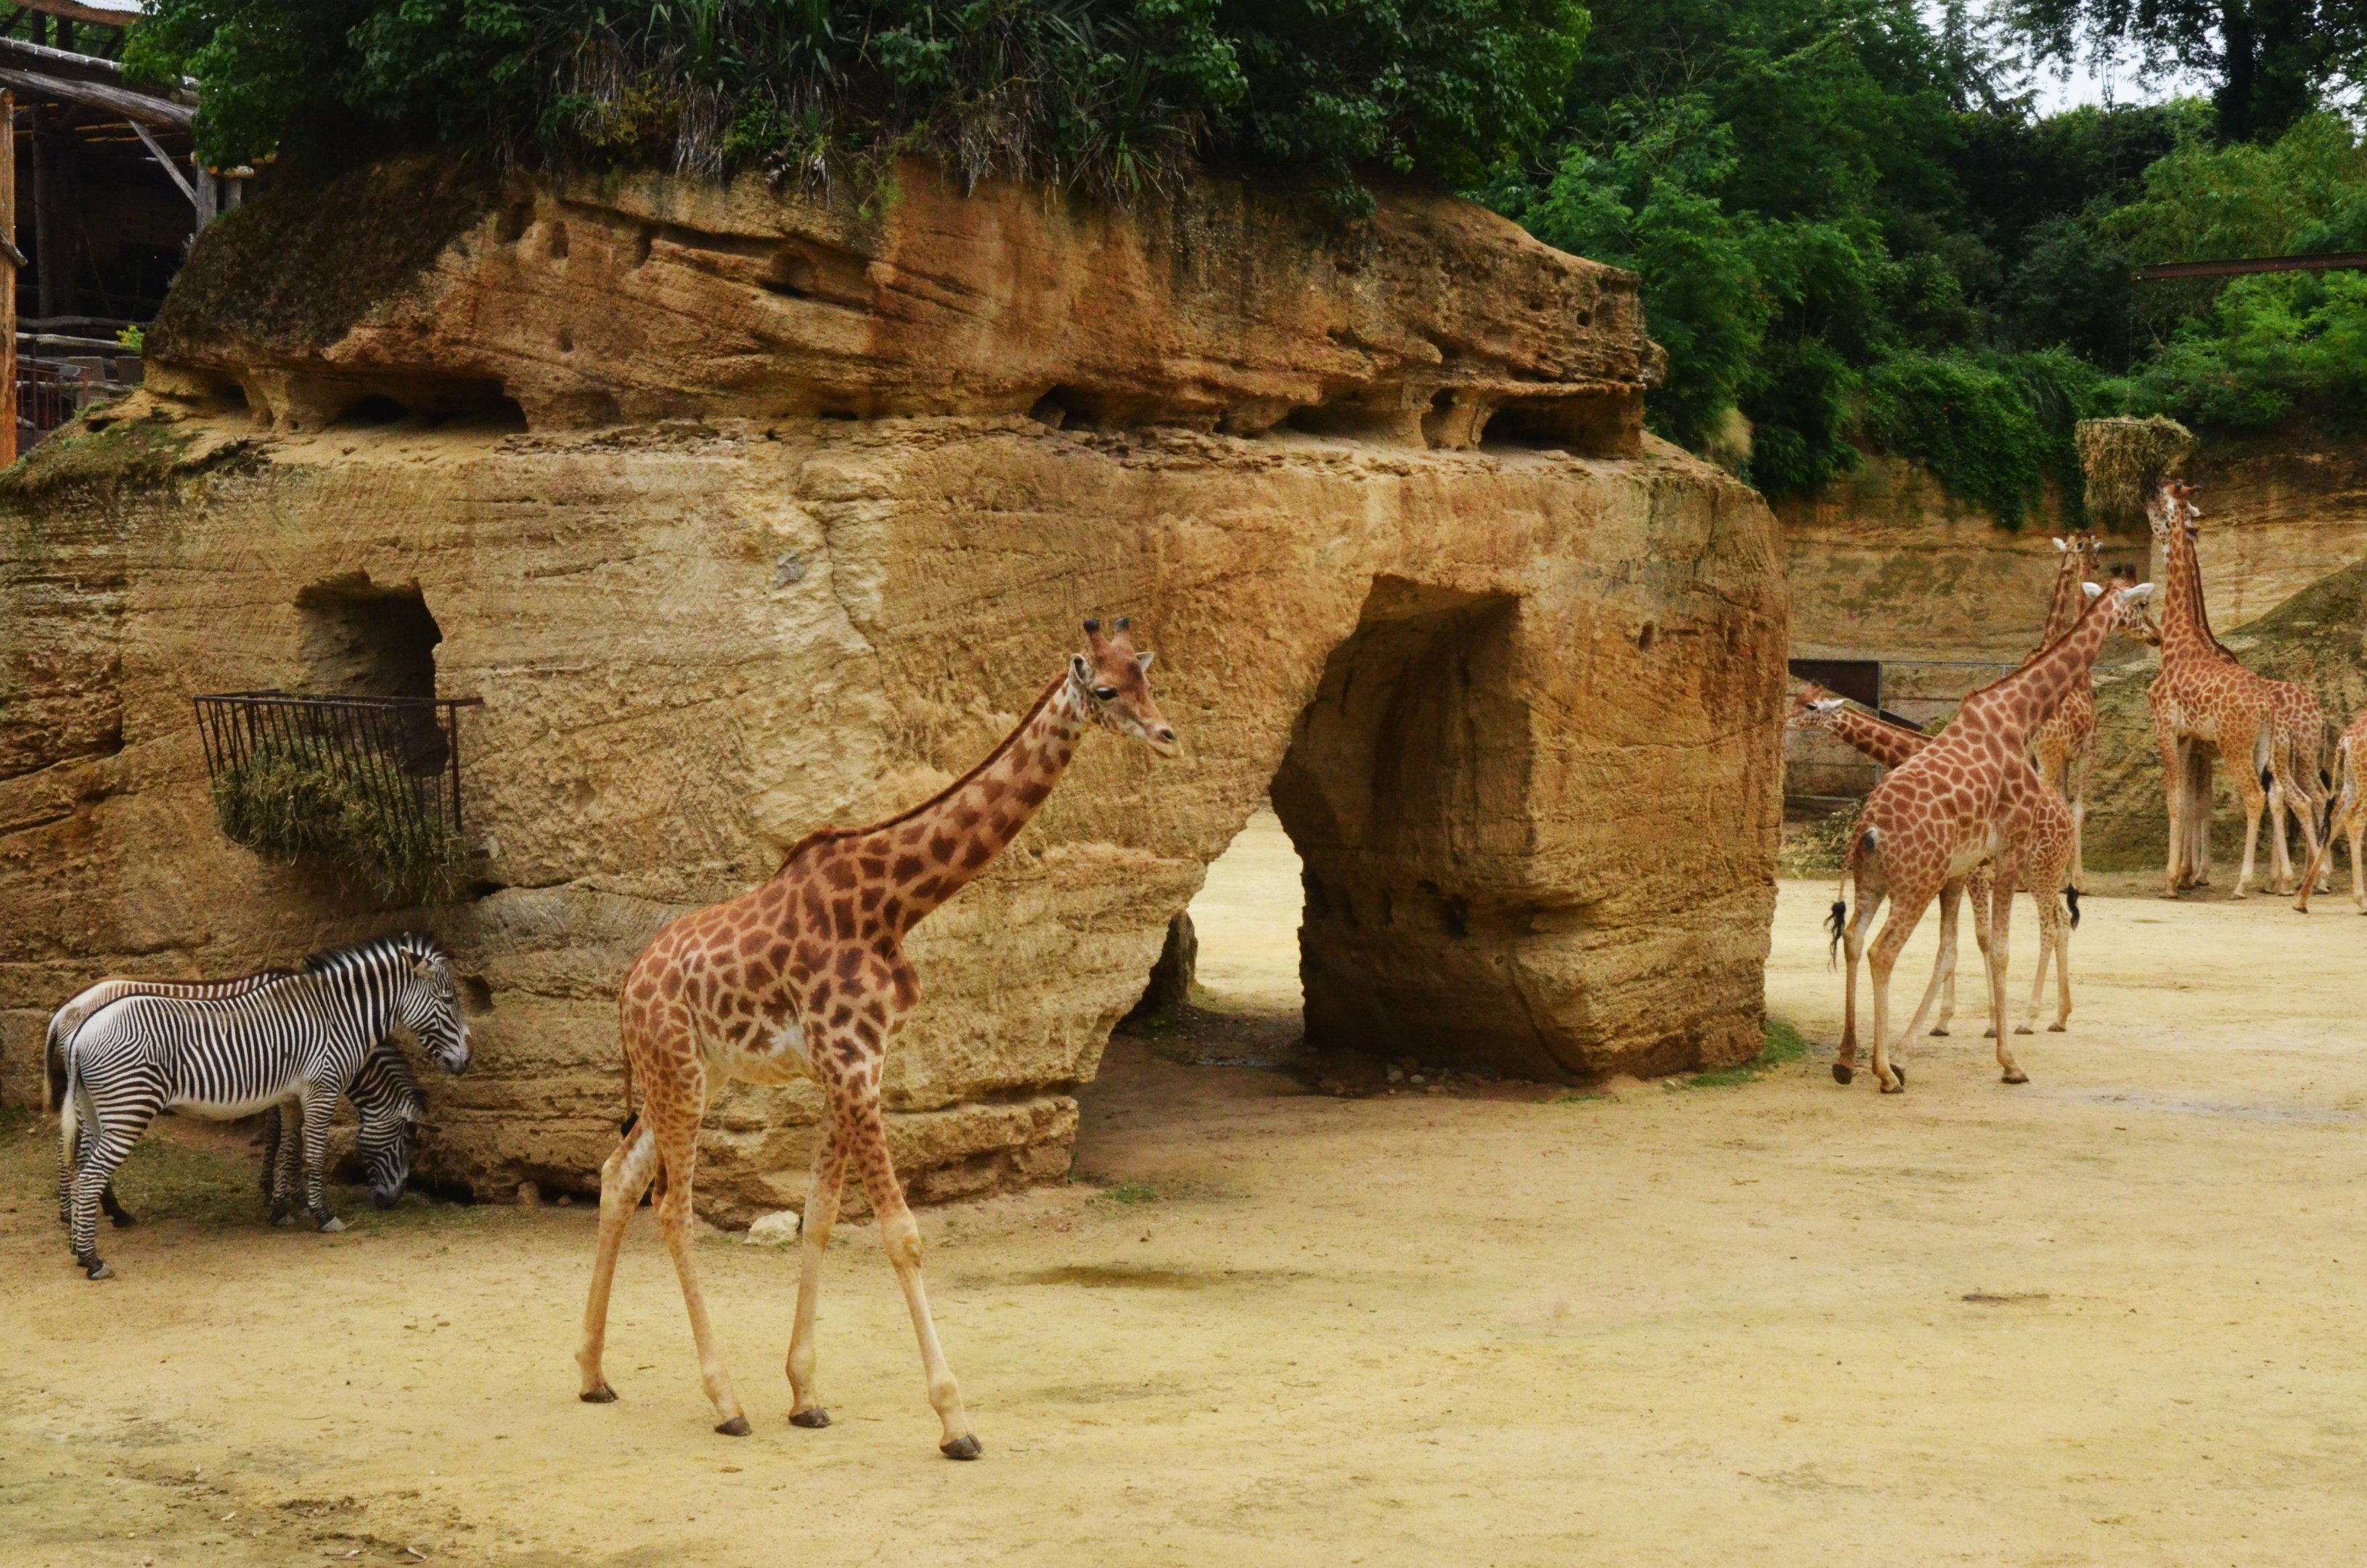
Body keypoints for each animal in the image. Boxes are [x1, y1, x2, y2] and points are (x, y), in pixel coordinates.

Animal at [52, 933, 470, 1278]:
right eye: (449, 1001)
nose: (465, 1063)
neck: (337, 1018)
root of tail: (81, 1026)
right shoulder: (321, 1090)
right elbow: (313, 1152)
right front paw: (321, 1214)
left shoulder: (290, 1097)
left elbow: (288, 1147)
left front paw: (282, 1207)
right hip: (128, 1109)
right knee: (88, 1175)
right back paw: (93, 1259)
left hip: (98, 1110)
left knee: (80, 1166)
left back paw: (78, 1243)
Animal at [575, 618, 1180, 1456]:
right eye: (1106, 688)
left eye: (1150, 677)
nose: (1168, 735)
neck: (895, 904)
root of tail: (628, 984)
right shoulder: (852, 1062)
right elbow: (902, 1233)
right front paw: (955, 1421)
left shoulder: (857, 1066)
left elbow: (823, 1218)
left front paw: (805, 1394)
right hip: (680, 1075)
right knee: (671, 1206)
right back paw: (725, 1401)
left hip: (694, 1074)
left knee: (618, 1175)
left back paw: (593, 1375)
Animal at [1831, 580, 2151, 1093]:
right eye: (2142, 605)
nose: (2157, 634)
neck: (2018, 713)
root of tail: (1869, 831)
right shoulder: (2010, 847)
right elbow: (1998, 948)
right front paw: (2009, 1062)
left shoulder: (1962, 869)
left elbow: (1952, 949)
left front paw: (1914, 1048)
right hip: (1916, 885)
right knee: (1884, 951)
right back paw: (1883, 1073)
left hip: (1873, 883)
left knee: (1854, 939)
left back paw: (1846, 1060)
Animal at [2146, 484, 2327, 898]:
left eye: (2163, 508)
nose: (2148, 496)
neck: (2178, 640)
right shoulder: (2191, 741)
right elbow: (2194, 803)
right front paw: (2189, 874)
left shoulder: (2169, 730)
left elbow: (2179, 802)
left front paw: (2176, 879)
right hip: (2272, 751)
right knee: (2296, 798)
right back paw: (2296, 880)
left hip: (2242, 747)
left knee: (2267, 797)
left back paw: (2256, 882)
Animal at [2295, 712, 2367, 914]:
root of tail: (2346, 739)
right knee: (2354, 820)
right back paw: (2362, 902)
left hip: (2352, 780)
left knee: (2335, 820)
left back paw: (2301, 901)